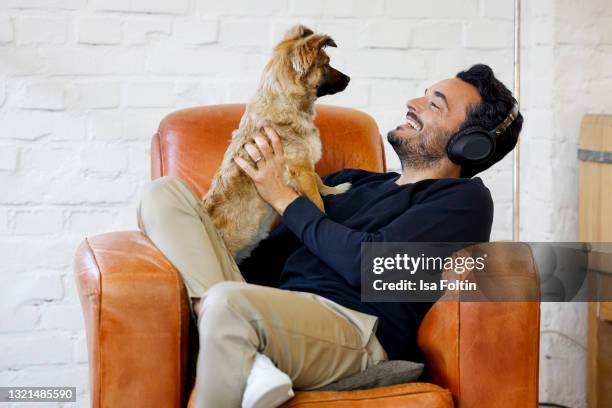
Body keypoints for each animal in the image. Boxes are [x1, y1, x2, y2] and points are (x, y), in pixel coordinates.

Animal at [202, 24, 350, 262]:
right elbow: (316, 199)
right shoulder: (301, 169)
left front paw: (334, 189)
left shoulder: (306, 166)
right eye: (326, 64)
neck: (286, 103)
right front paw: (324, 215)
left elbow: (319, 181)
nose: (349, 79)